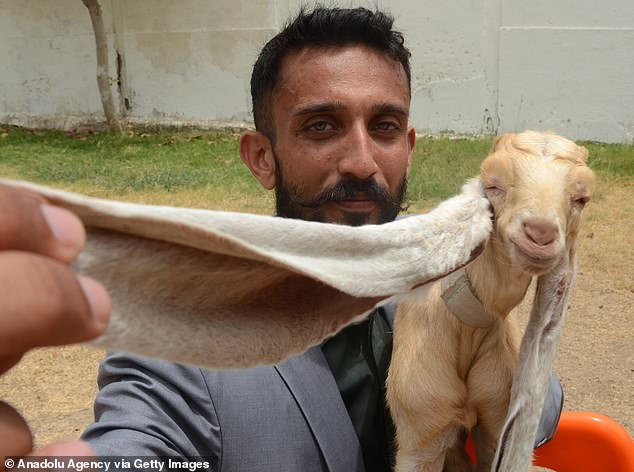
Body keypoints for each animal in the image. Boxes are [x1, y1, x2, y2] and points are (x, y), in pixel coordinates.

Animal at [386, 130, 592, 472]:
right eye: (494, 185)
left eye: (581, 199)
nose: (539, 234)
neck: (467, 329)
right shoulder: (421, 430)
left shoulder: (497, 419)